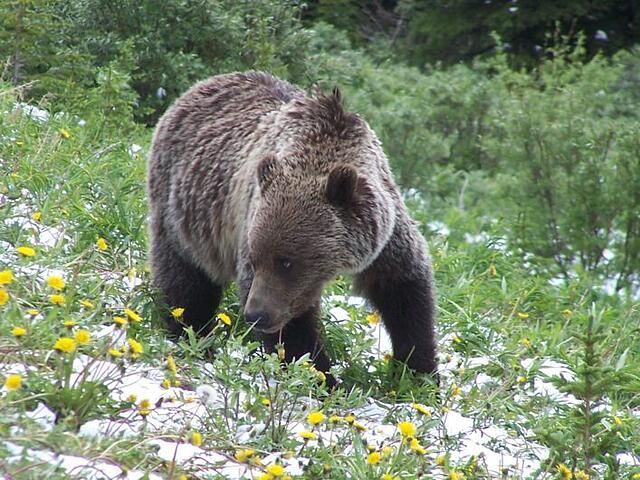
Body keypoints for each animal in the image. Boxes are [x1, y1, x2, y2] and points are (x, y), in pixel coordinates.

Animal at [148, 72, 438, 386]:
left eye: (286, 261)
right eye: (254, 259)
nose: (255, 314)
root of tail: (193, 90)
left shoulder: (385, 235)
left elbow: (404, 291)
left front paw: (419, 373)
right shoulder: (252, 221)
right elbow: (295, 330)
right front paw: (322, 377)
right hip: (181, 211)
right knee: (185, 280)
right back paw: (191, 333)